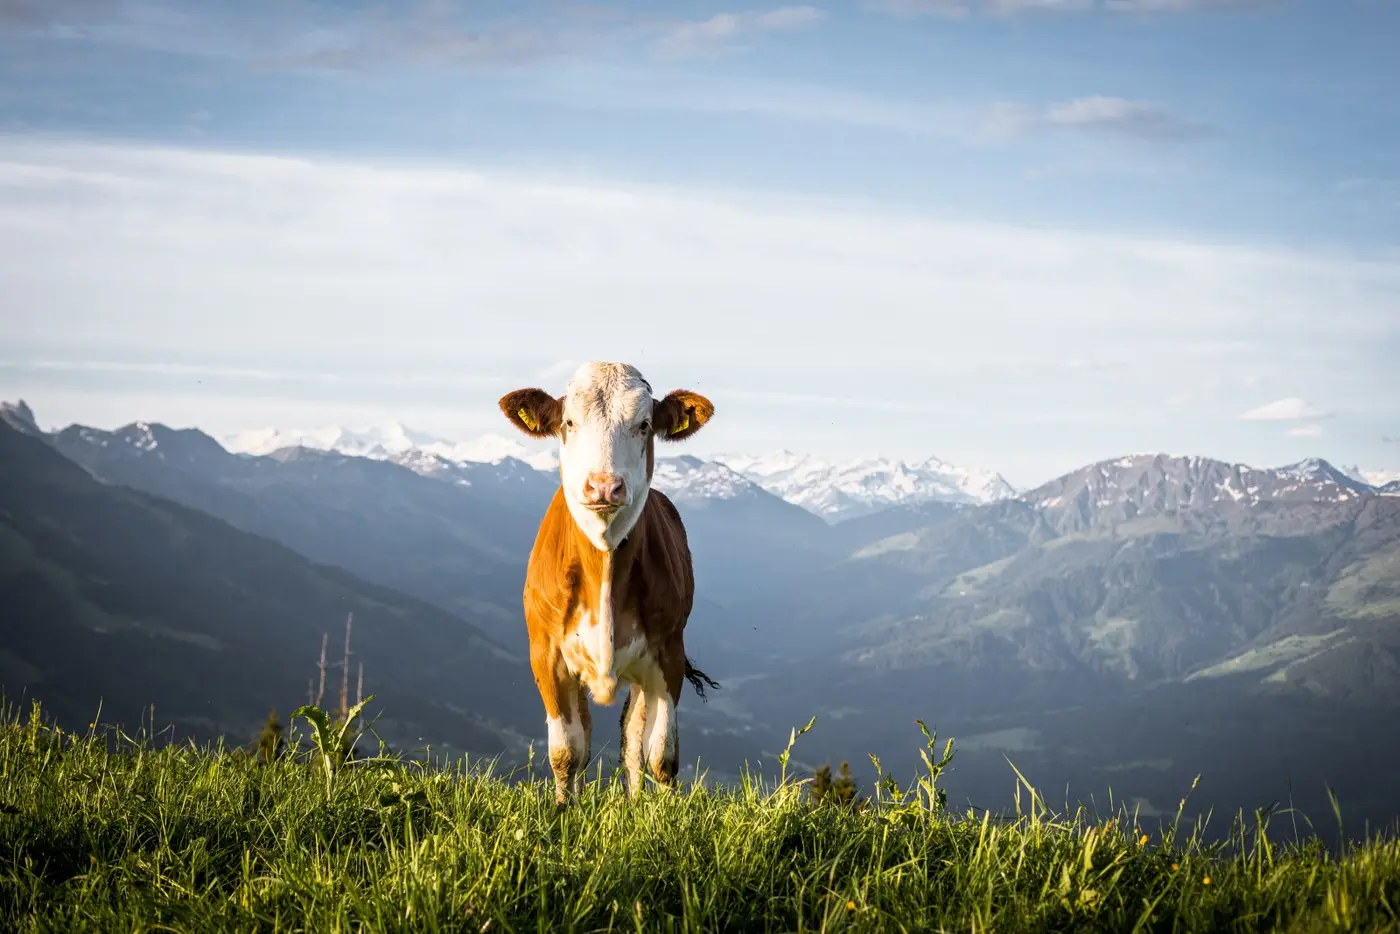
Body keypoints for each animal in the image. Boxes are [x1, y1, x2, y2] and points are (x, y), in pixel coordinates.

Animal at [498, 361, 720, 804]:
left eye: (644, 424)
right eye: (568, 421)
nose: (603, 485)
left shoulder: (668, 653)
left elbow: (659, 754)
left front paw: (662, 814)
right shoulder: (545, 655)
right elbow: (567, 750)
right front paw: (564, 809)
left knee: (632, 739)